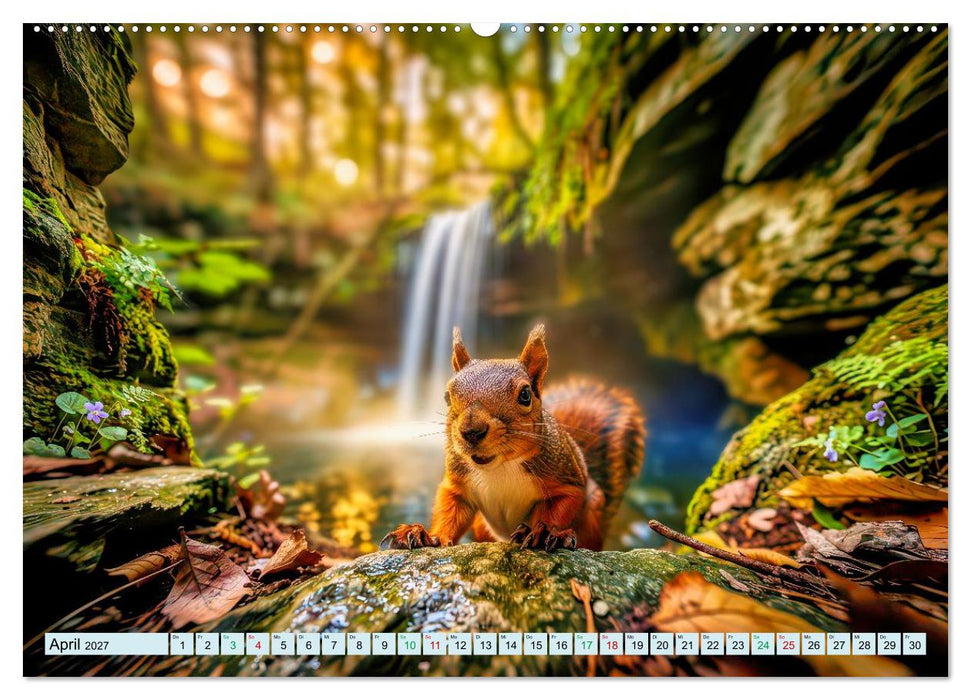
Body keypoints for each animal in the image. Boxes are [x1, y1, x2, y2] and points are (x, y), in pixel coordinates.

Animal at [382, 324, 646, 552]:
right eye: (447, 396)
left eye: (525, 394)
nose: (471, 431)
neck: (499, 467)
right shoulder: (457, 484)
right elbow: (450, 512)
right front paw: (426, 535)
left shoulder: (566, 481)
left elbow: (559, 508)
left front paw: (544, 534)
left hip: (593, 513)